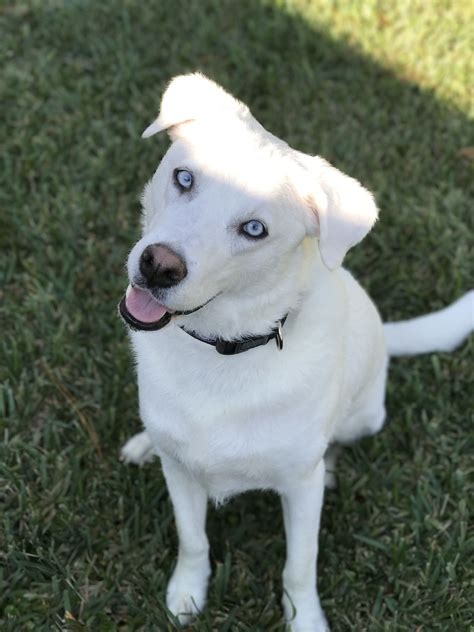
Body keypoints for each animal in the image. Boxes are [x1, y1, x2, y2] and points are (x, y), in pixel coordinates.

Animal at [119, 75, 474, 632]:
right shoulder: (181, 475)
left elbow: (299, 565)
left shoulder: (301, 496)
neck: (223, 351)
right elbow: (193, 539)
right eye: (184, 178)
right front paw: (187, 593)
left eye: (254, 229)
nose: (158, 265)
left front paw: (304, 619)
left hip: (365, 417)